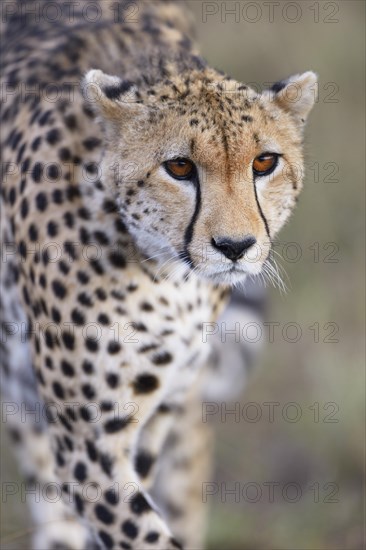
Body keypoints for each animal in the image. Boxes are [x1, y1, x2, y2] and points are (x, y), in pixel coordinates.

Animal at [0, 1, 316, 550]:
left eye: (264, 162)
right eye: (180, 167)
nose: (235, 247)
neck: (170, 277)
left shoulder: (155, 417)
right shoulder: (87, 442)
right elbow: (140, 532)